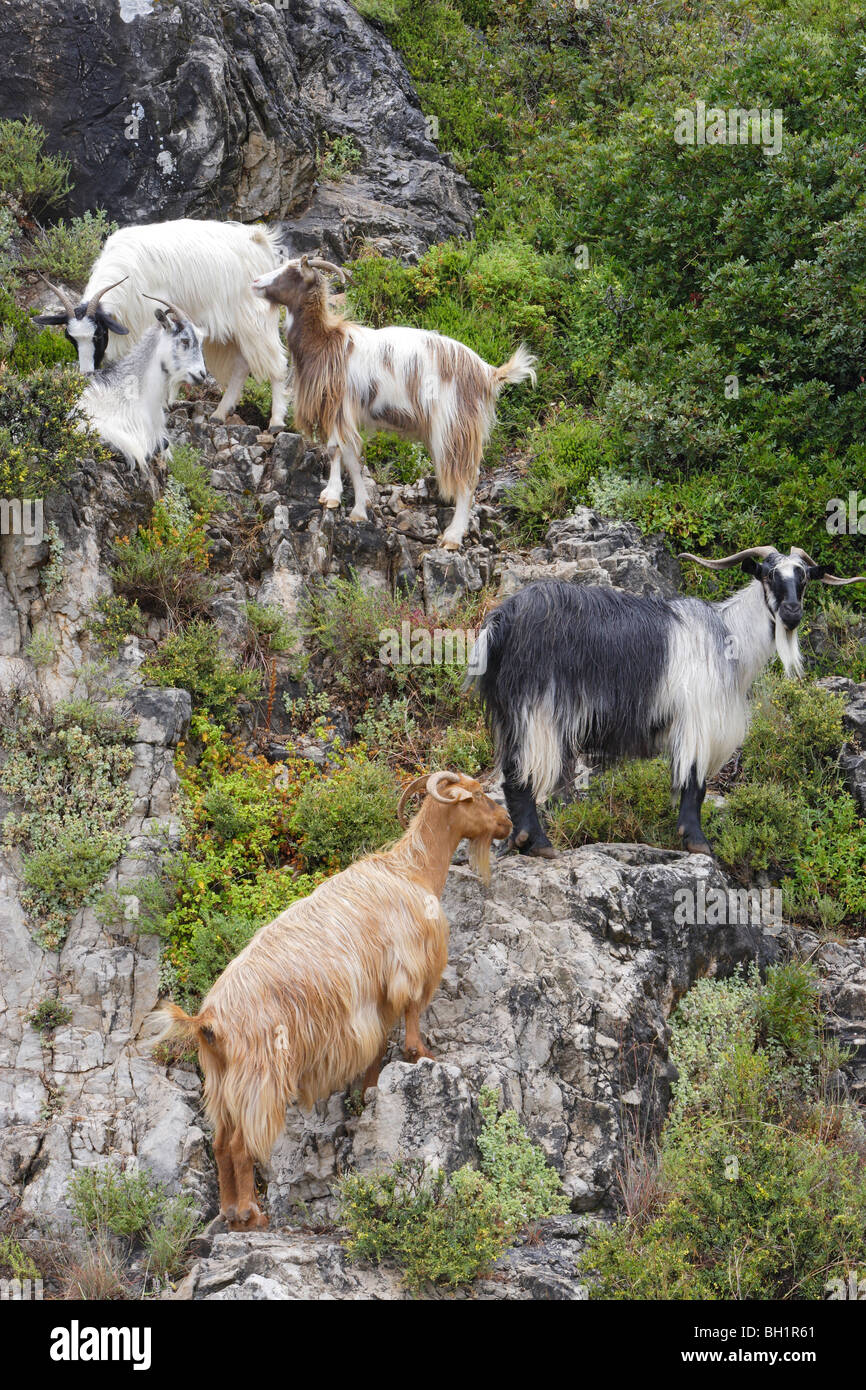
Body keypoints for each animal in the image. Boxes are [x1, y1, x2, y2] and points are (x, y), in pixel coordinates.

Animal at [35, 219, 289, 430]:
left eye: (98, 335)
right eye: (71, 338)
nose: (86, 373)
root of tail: (261, 242)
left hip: (255, 319)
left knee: (277, 365)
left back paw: (276, 422)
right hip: (231, 332)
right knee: (241, 365)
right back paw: (219, 413)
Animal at [155, 770, 512, 1230]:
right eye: (478, 795)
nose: (506, 823)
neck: (411, 870)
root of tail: (207, 1020)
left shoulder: (375, 1002)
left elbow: (377, 1049)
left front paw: (370, 1090)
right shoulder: (409, 965)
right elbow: (412, 1013)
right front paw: (421, 1054)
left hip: (220, 1080)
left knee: (219, 1142)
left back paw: (229, 1212)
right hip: (261, 1076)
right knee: (239, 1144)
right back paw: (250, 1214)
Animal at [250, 254, 537, 548]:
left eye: (292, 272)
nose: (255, 281)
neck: (325, 341)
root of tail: (488, 373)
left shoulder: (341, 407)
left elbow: (341, 452)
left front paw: (344, 503)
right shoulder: (339, 411)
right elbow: (343, 453)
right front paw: (345, 502)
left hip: (454, 425)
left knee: (468, 478)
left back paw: (453, 537)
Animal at [468, 545, 866, 857]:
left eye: (804, 578)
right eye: (769, 576)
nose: (792, 613)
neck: (729, 638)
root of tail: (501, 621)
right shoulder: (698, 722)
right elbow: (694, 784)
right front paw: (697, 842)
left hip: (509, 712)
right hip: (536, 710)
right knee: (520, 775)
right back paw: (538, 843)